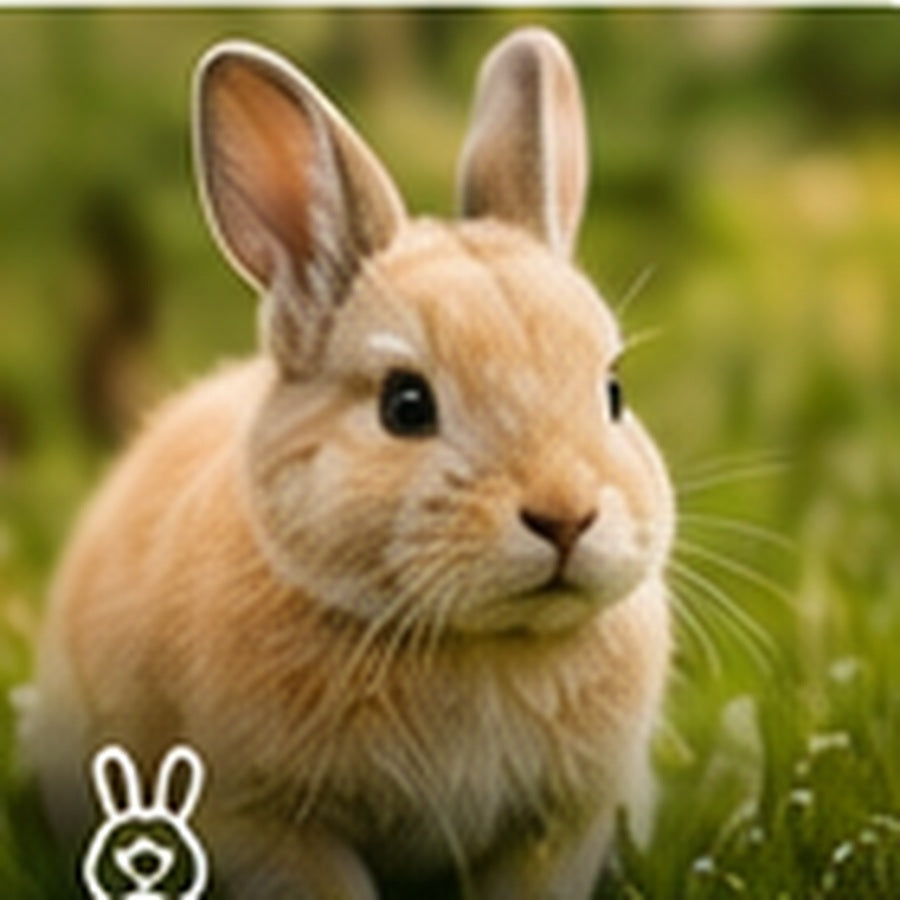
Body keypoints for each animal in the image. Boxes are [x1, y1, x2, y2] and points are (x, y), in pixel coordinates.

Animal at [26, 26, 675, 900]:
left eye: (612, 392)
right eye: (405, 405)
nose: (566, 515)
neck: (476, 642)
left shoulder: (560, 827)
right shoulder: (257, 820)